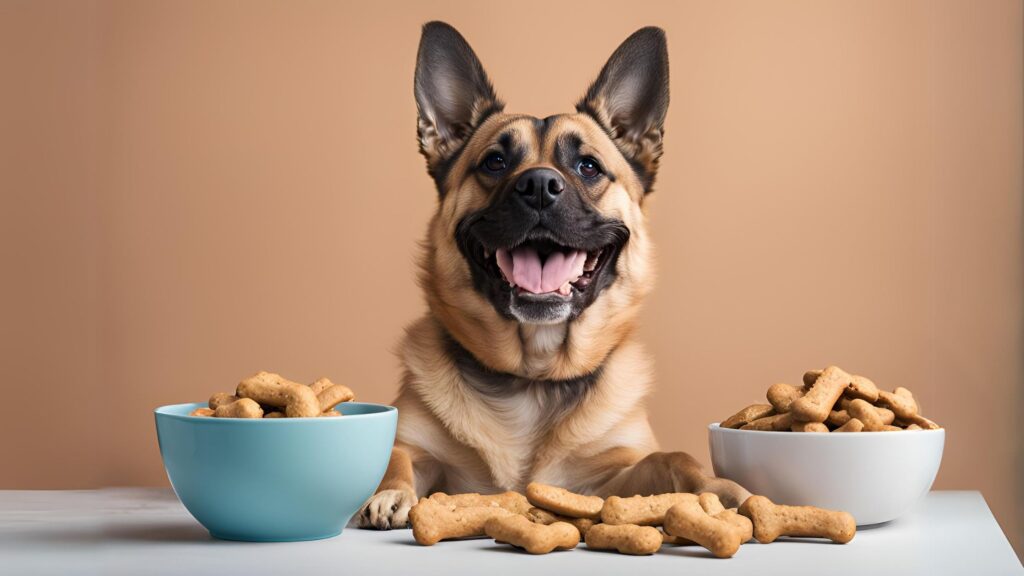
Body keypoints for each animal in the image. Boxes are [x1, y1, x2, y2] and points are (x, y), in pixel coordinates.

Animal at [356, 21, 749, 528]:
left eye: (589, 166)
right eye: (494, 162)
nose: (539, 185)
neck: (534, 378)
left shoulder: (609, 478)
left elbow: (674, 458)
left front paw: (716, 488)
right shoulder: (426, 454)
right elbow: (396, 455)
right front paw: (390, 491)